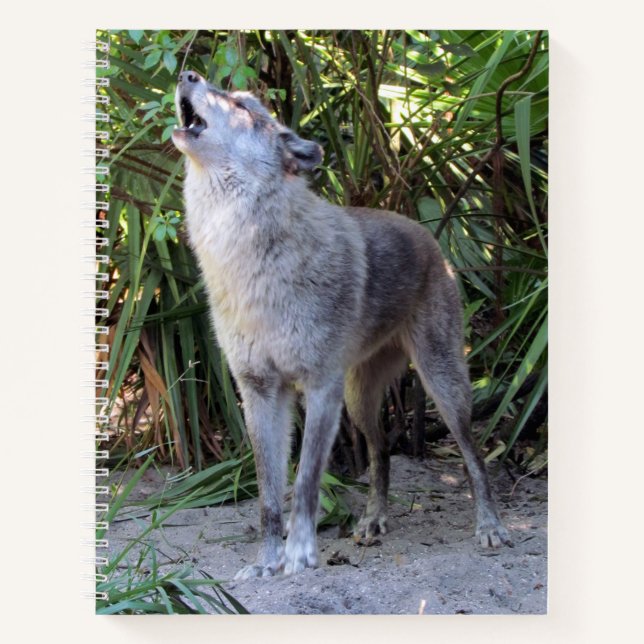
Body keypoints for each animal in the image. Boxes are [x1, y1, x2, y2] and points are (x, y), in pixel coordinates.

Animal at [171, 70, 511, 579]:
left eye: (243, 105)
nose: (187, 74)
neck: (248, 259)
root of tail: (426, 233)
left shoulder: (319, 388)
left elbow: (306, 483)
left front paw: (299, 556)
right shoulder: (260, 392)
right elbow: (268, 497)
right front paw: (266, 563)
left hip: (443, 387)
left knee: (473, 454)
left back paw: (489, 526)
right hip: (360, 400)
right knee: (381, 450)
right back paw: (372, 522)